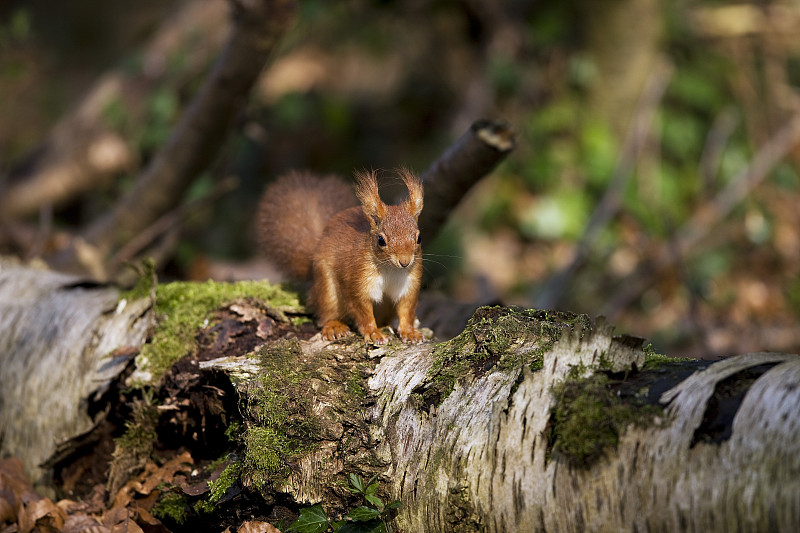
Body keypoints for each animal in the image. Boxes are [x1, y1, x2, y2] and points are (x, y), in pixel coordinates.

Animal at [260, 170, 428, 344]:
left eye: (419, 238)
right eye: (381, 240)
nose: (405, 262)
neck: (390, 269)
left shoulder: (410, 283)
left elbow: (407, 309)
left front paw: (410, 332)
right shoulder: (356, 281)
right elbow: (362, 311)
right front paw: (373, 333)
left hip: (385, 306)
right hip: (326, 288)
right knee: (327, 312)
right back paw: (334, 326)